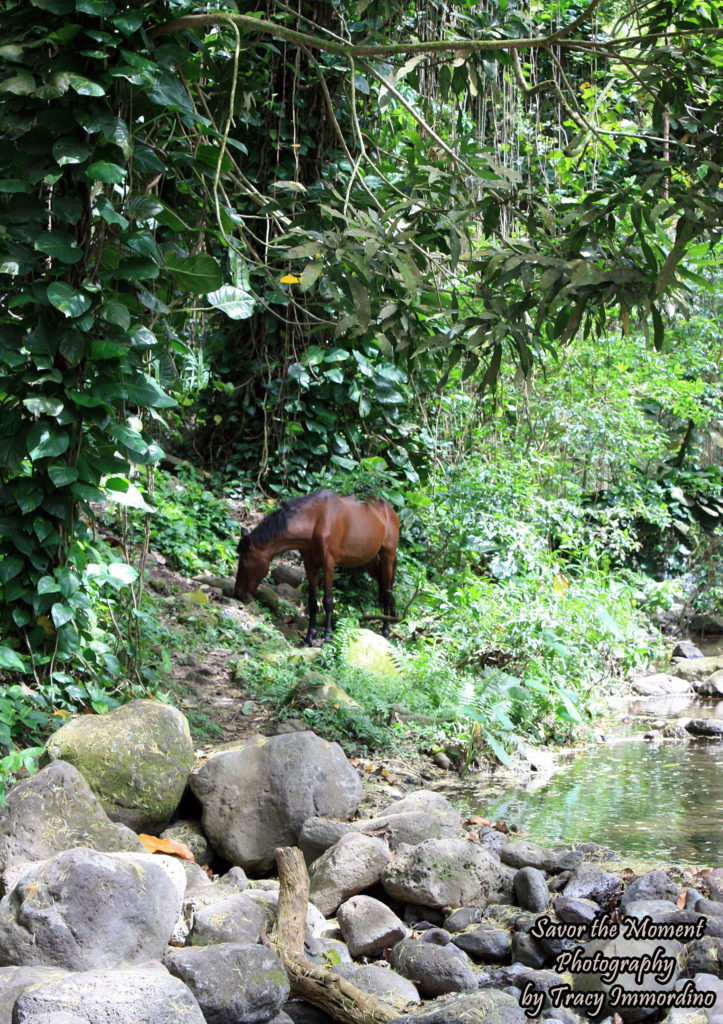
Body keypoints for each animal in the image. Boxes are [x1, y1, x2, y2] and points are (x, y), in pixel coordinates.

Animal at [233, 491, 397, 643]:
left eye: (244, 563)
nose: (238, 594)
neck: (315, 522)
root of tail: (389, 509)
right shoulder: (310, 564)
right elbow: (312, 601)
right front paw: (310, 635)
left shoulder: (328, 564)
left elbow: (328, 601)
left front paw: (328, 636)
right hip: (368, 560)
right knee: (382, 584)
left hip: (387, 557)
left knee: (387, 590)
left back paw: (386, 628)